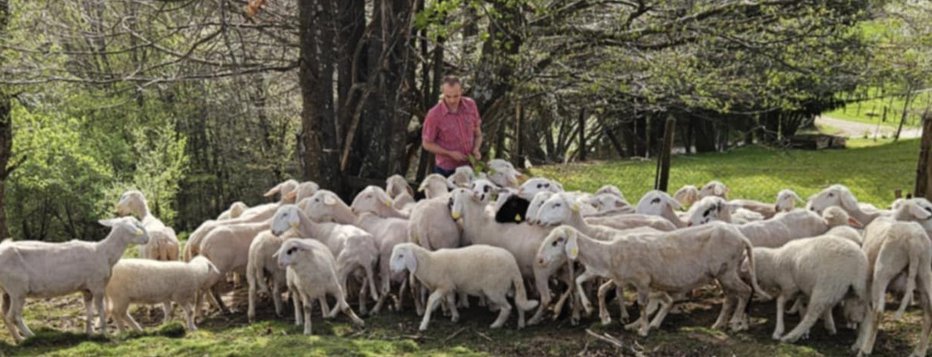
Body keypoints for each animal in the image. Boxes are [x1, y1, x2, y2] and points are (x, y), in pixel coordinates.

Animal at [0, 216, 148, 340]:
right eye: (134, 230)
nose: (146, 240)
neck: (104, 253)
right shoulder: (97, 285)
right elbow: (100, 310)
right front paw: (104, 333)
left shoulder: (86, 289)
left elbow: (89, 311)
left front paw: (90, 333)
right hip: (17, 289)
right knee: (14, 316)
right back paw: (29, 336)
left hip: (6, 291)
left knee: (5, 316)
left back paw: (18, 339)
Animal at [392, 243, 540, 330]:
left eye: (401, 255)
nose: (392, 270)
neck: (429, 262)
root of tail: (513, 265)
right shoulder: (450, 286)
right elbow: (451, 301)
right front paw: (455, 317)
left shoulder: (444, 285)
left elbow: (431, 299)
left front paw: (424, 323)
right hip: (511, 285)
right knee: (519, 303)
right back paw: (521, 324)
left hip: (494, 289)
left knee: (507, 307)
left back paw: (496, 325)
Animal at [536, 224, 768, 336]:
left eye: (557, 241)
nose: (539, 259)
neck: (609, 254)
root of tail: (741, 237)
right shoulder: (626, 279)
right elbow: (599, 289)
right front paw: (605, 316)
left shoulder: (641, 281)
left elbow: (641, 305)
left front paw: (644, 330)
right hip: (724, 273)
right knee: (730, 297)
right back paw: (719, 324)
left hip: (727, 271)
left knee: (745, 291)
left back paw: (736, 324)